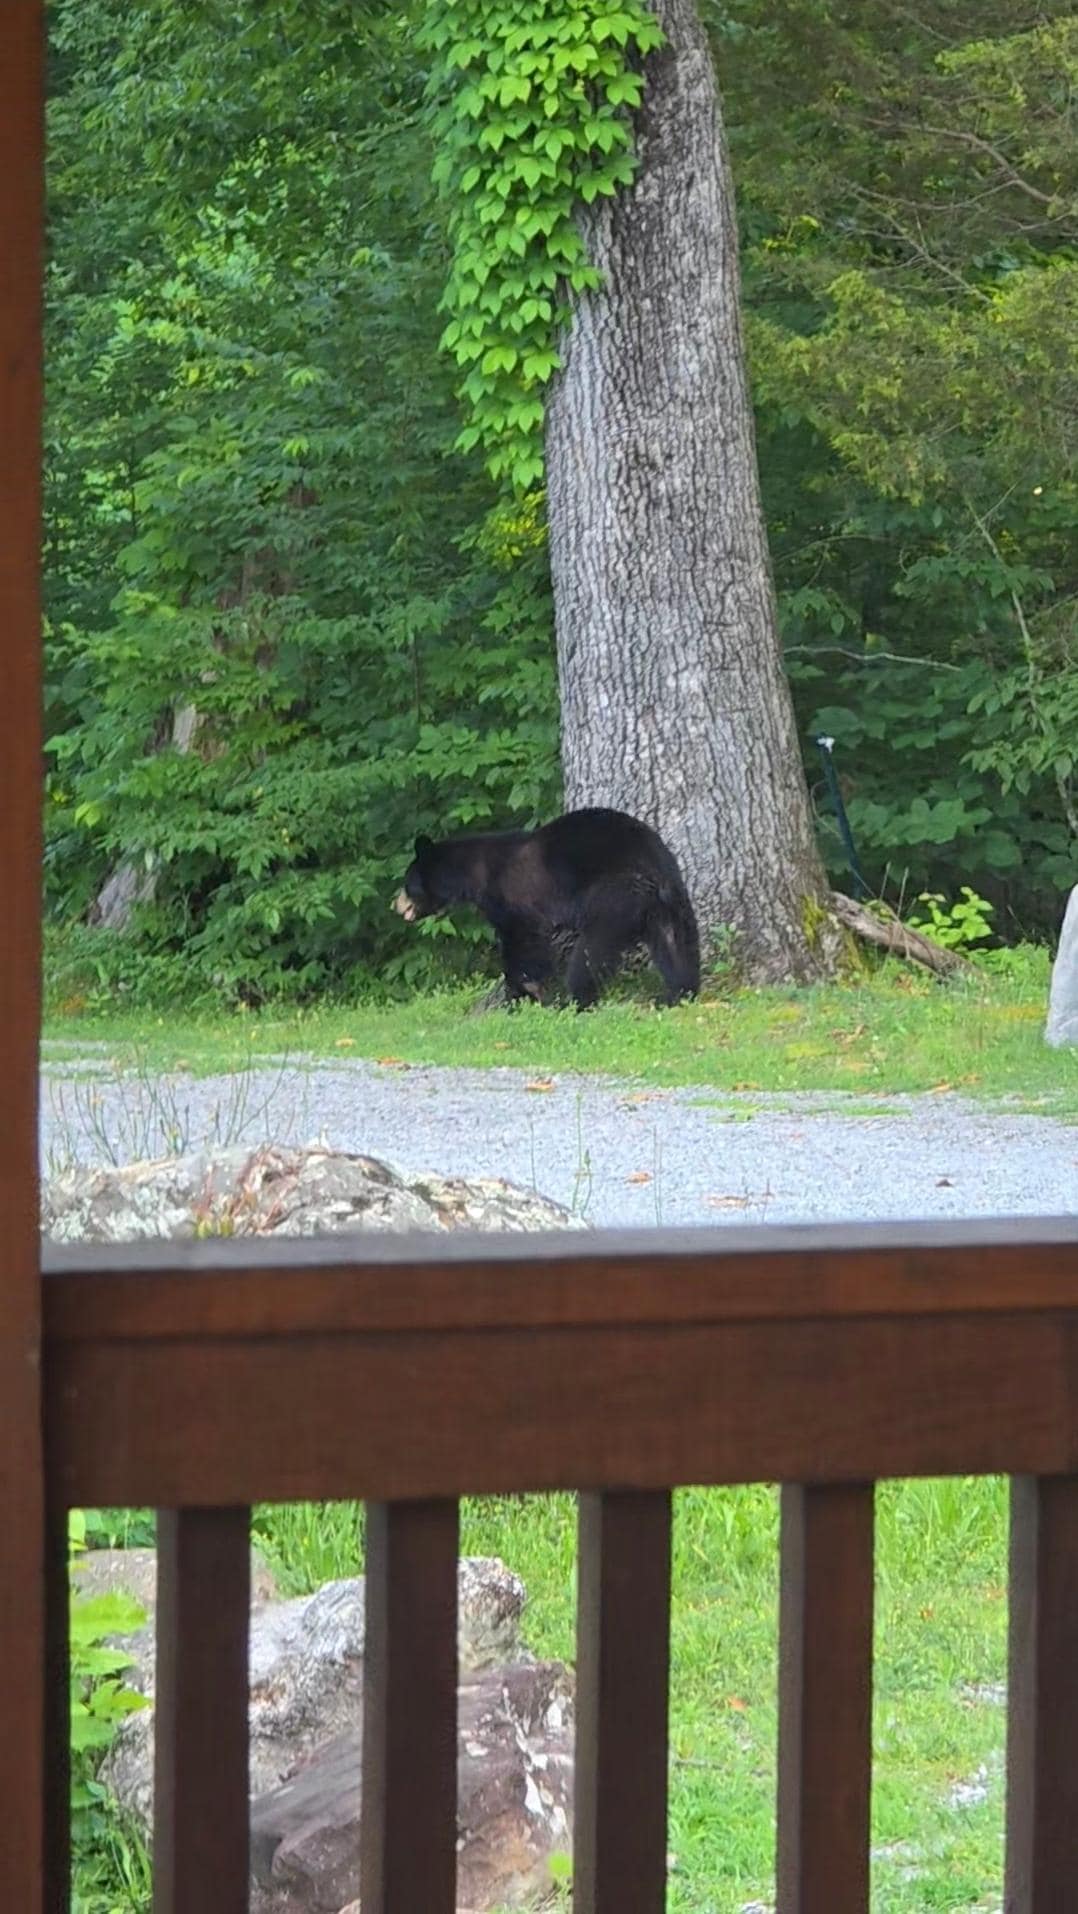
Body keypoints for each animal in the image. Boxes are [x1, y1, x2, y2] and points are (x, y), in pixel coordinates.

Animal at [394, 807, 701, 1011]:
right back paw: (681, 992)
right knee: (676, 942)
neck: (474, 873)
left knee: (591, 951)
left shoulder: (509, 895)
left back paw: (578, 1000)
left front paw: (521, 992)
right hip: (670, 901)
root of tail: (651, 864)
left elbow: (523, 940)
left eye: (407, 882)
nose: (397, 905)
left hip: (615, 894)